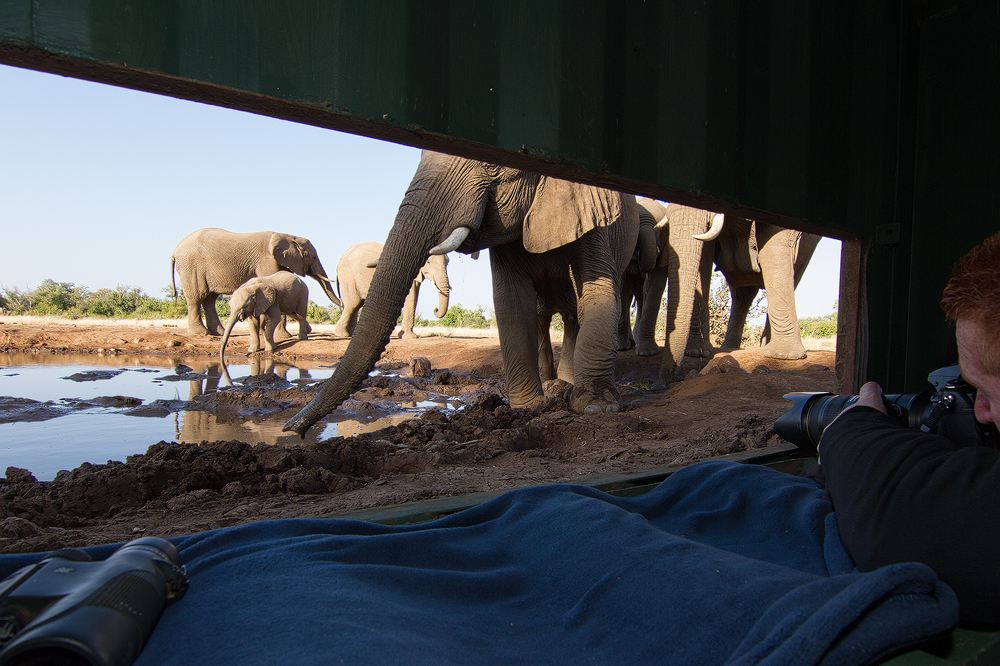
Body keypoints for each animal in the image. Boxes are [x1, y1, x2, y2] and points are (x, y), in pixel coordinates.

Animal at [171, 228, 341, 336]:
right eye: (313, 257)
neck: (287, 236)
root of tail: (175, 250)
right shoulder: (267, 261)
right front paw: (284, 336)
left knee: (210, 299)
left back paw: (219, 333)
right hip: (190, 266)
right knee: (196, 297)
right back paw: (201, 333)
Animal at [284, 150, 643, 437]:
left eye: (492, 164)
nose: (292, 431)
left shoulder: (593, 212)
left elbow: (598, 294)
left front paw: (597, 409)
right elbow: (512, 302)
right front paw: (528, 408)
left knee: (573, 313)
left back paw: (566, 388)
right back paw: (556, 387)